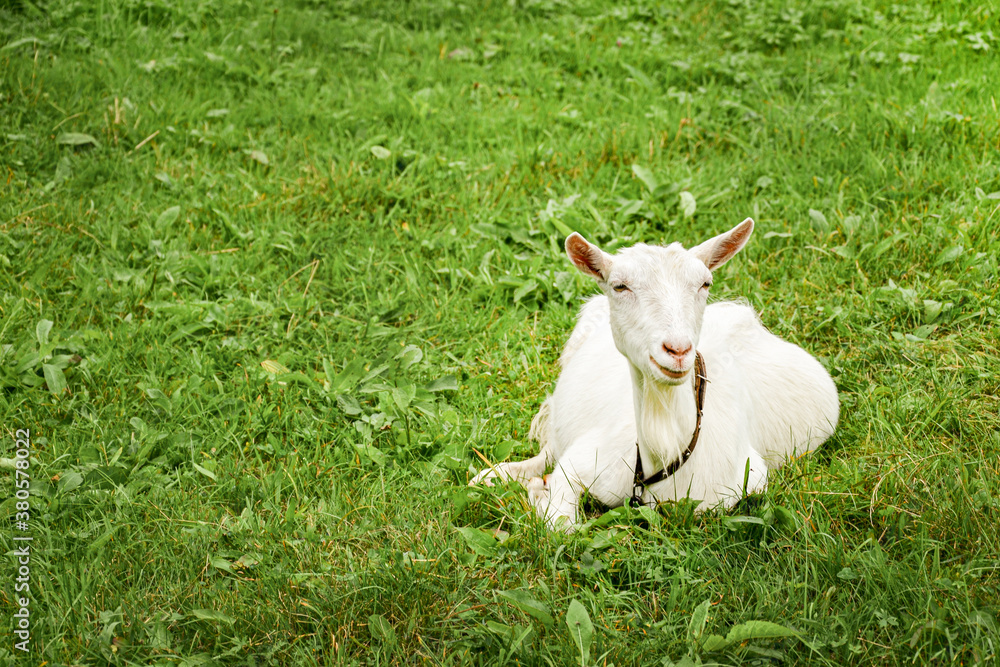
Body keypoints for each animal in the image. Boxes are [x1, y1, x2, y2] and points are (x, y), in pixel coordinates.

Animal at [470, 218, 839, 530]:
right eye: (619, 286)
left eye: (705, 283)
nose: (677, 349)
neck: (661, 457)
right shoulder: (578, 463)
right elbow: (563, 524)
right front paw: (536, 491)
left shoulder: (744, 483)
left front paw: (536, 493)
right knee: (547, 448)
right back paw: (495, 475)